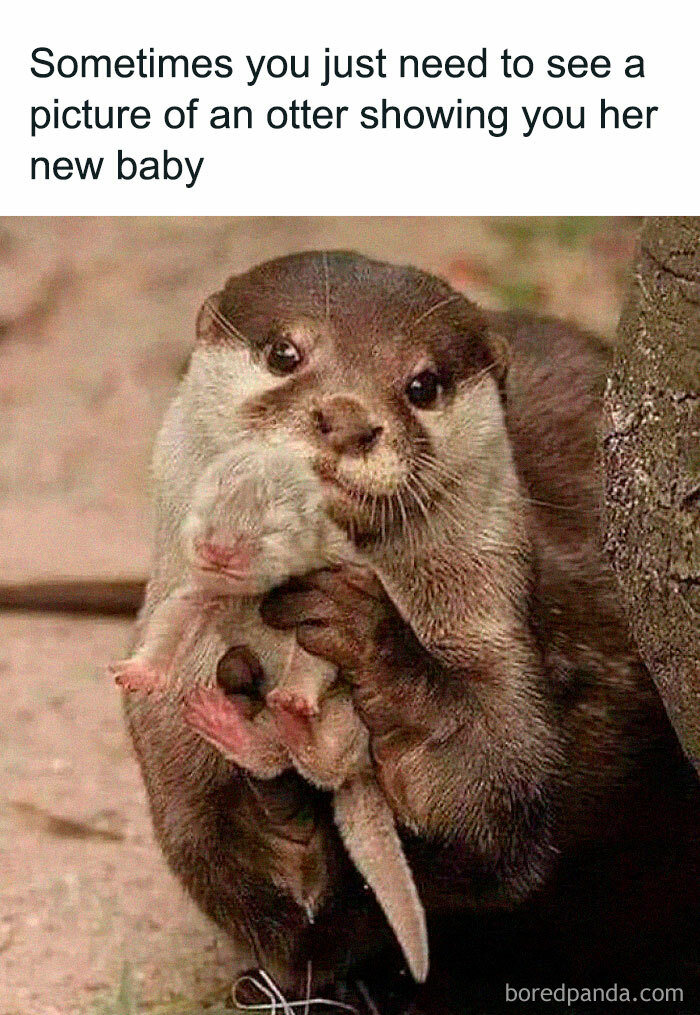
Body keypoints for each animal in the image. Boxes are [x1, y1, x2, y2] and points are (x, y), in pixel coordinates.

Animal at [111, 435, 429, 982]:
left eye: (268, 528)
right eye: (206, 511)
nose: (217, 548)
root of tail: (363, 773)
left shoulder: (325, 589)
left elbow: (316, 655)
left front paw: (296, 695)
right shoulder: (203, 588)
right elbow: (172, 616)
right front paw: (143, 670)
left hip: (350, 719)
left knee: (308, 763)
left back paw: (285, 728)